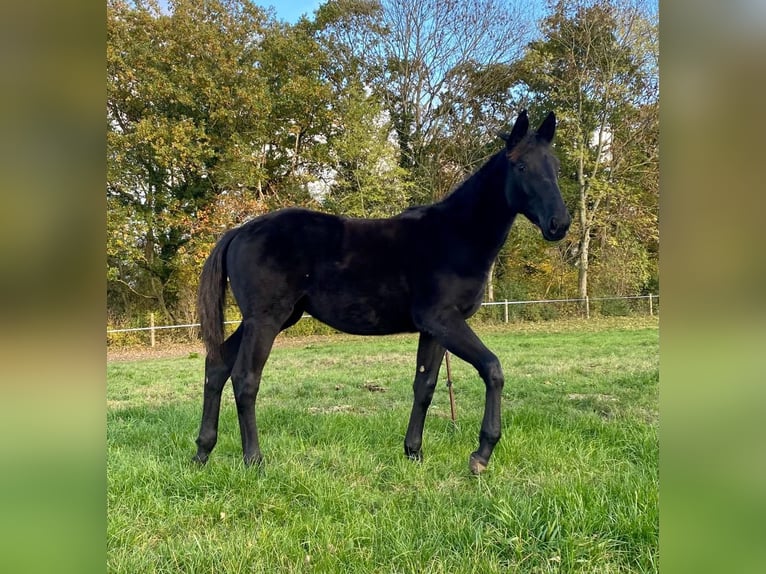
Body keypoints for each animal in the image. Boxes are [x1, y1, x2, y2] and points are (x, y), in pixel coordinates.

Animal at [195, 110, 572, 474]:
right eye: (521, 167)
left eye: (555, 167)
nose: (559, 224)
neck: (457, 235)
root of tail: (239, 231)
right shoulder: (444, 321)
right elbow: (492, 369)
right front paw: (481, 454)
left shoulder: (434, 330)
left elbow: (425, 385)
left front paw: (414, 452)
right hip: (266, 320)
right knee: (245, 379)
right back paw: (254, 460)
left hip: (270, 319)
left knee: (217, 365)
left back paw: (202, 451)